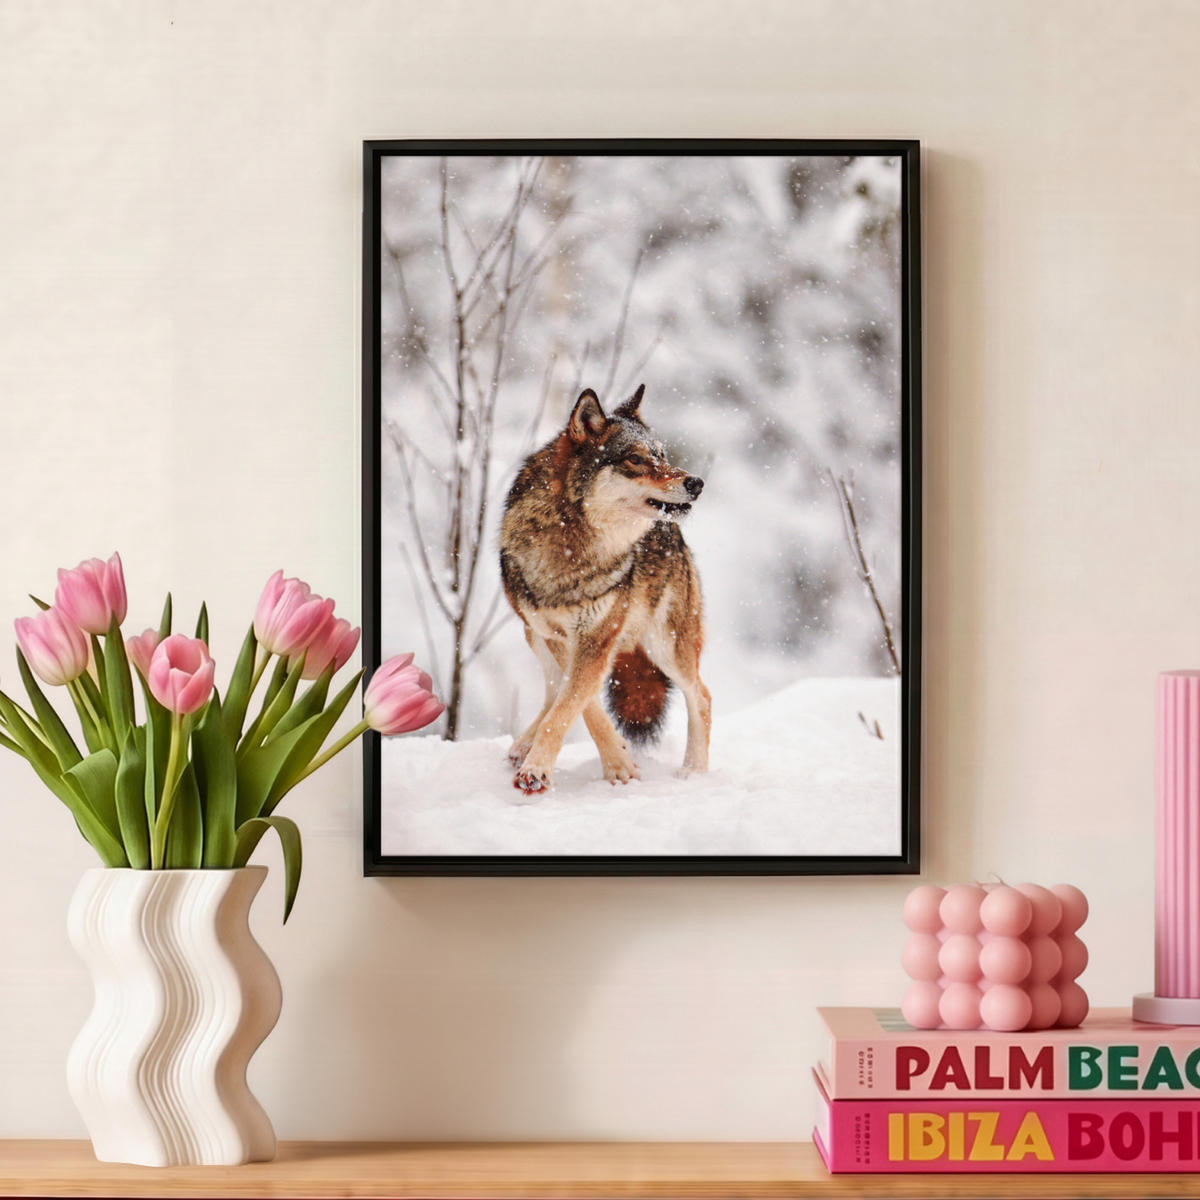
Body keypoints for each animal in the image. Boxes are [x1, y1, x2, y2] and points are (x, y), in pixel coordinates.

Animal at [499, 384, 711, 794]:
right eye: (635, 459)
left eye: (662, 455)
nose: (695, 482)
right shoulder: (559, 636)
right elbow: (579, 704)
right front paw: (618, 761)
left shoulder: (596, 638)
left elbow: (571, 705)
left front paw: (540, 770)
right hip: (533, 635)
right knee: (552, 690)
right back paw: (522, 745)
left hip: (666, 646)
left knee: (702, 697)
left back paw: (694, 773)